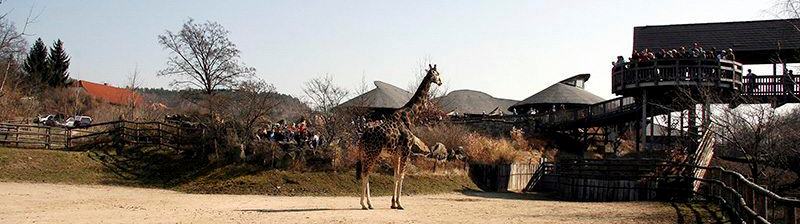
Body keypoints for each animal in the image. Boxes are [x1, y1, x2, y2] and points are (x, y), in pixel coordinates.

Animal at [358, 63, 444, 210]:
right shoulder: (406, 151)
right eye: (437, 73)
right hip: (372, 153)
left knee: (366, 174)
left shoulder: (395, 154)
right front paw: (399, 203)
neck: (410, 116)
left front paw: (393, 203)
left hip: (366, 153)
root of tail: (363, 136)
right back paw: (364, 204)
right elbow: (402, 176)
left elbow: (395, 176)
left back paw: (369, 203)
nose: (440, 82)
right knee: (365, 173)